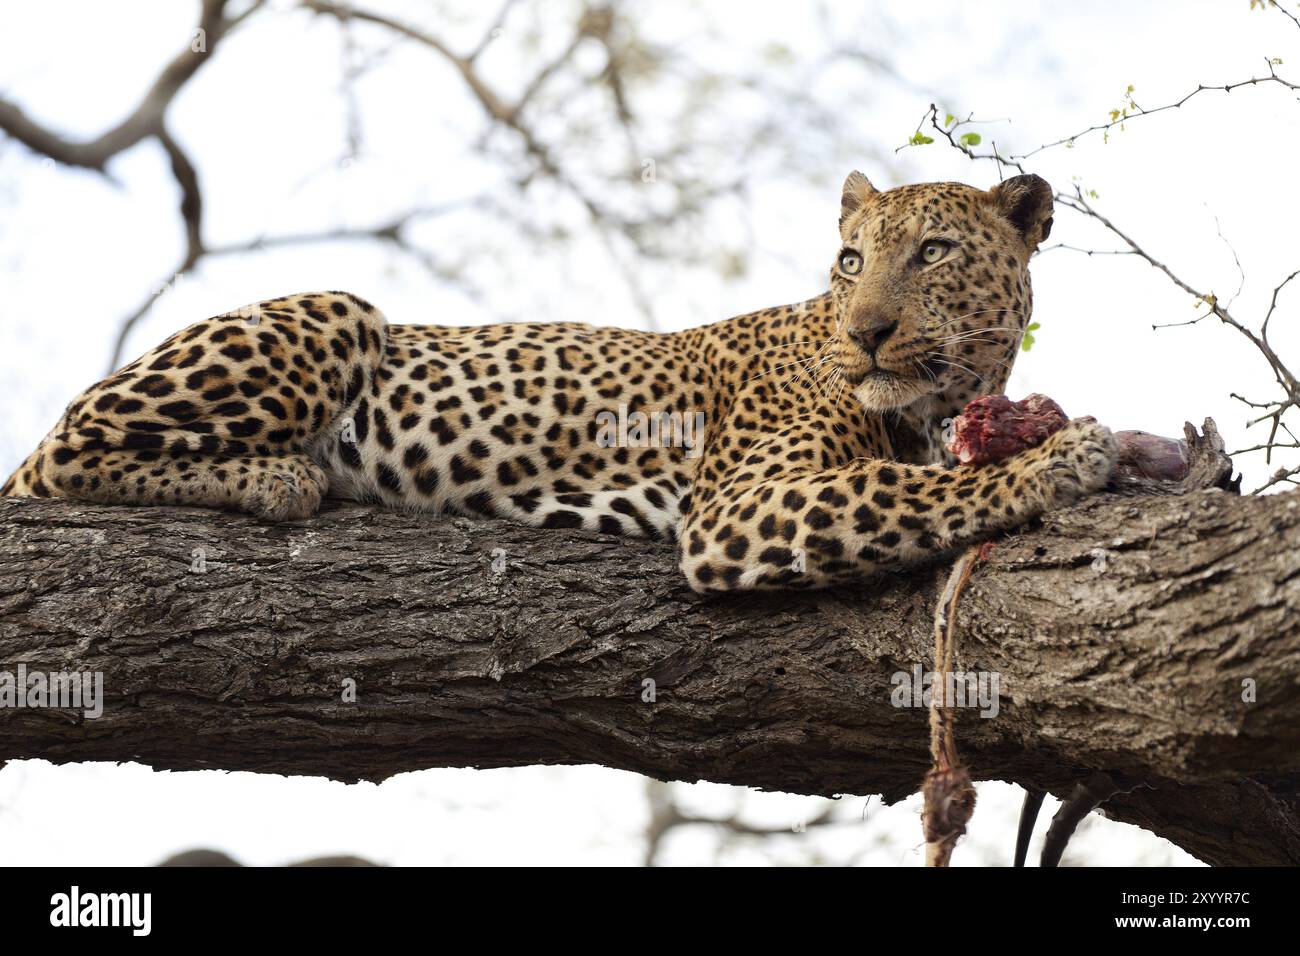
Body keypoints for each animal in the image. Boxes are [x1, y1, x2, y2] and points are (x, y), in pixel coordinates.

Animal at [0, 171, 1118, 590]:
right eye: (851, 259)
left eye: (932, 252)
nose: (867, 330)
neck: (927, 407)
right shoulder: (738, 507)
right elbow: (912, 488)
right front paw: (1064, 456)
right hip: (338, 309)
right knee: (53, 459)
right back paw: (275, 476)